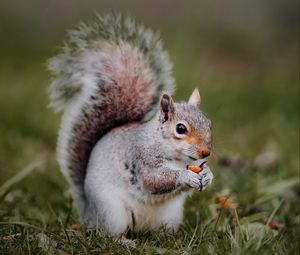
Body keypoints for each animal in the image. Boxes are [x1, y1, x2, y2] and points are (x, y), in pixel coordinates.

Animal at [48, 13, 213, 237]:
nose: (206, 152)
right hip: (111, 212)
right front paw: (185, 176)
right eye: (181, 129)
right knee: (109, 233)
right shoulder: (143, 158)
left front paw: (208, 175)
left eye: (209, 124)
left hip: (170, 216)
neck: (177, 155)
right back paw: (123, 240)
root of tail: (89, 212)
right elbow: (155, 180)